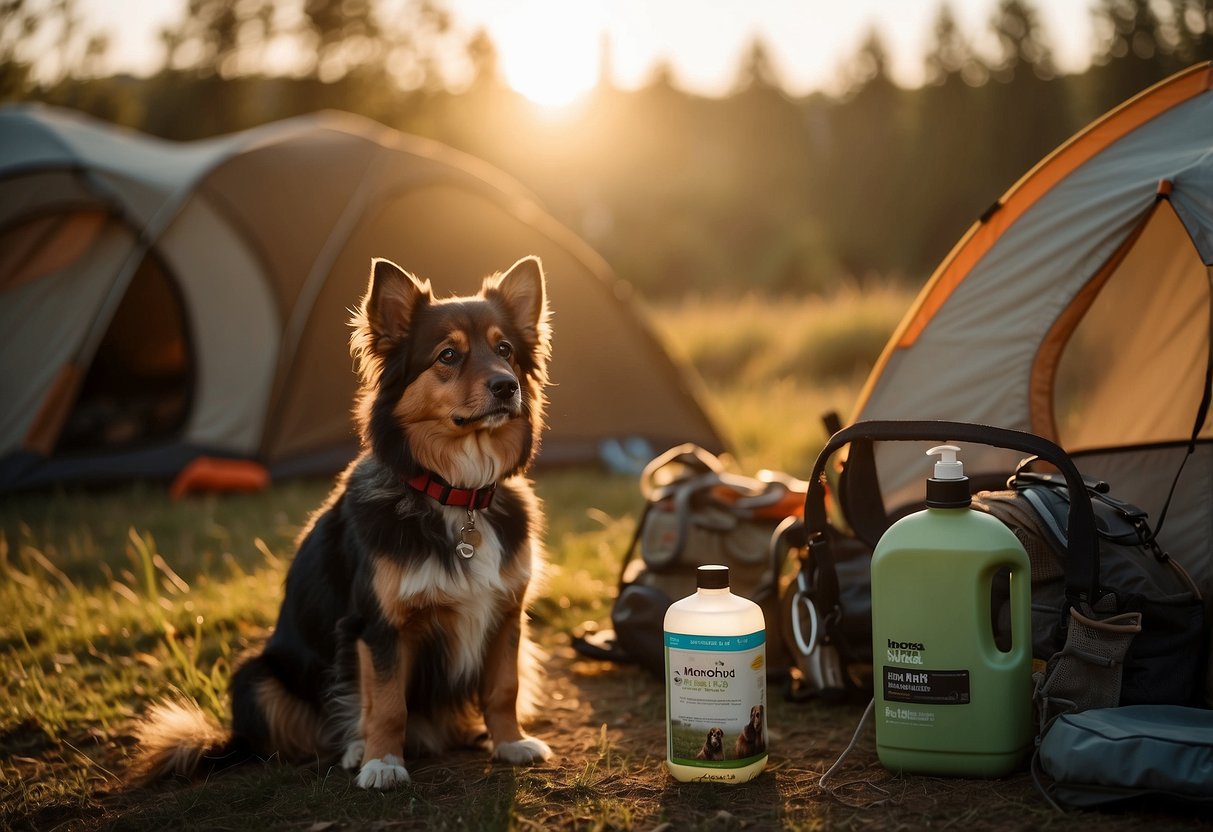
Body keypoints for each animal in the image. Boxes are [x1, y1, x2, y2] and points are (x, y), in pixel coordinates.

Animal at [127, 257, 555, 790]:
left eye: (504, 350)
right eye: (448, 355)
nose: (506, 386)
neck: (456, 495)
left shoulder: (506, 613)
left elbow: (503, 687)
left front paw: (510, 743)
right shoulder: (379, 626)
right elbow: (388, 705)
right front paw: (382, 763)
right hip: (256, 678)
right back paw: (354, 749)